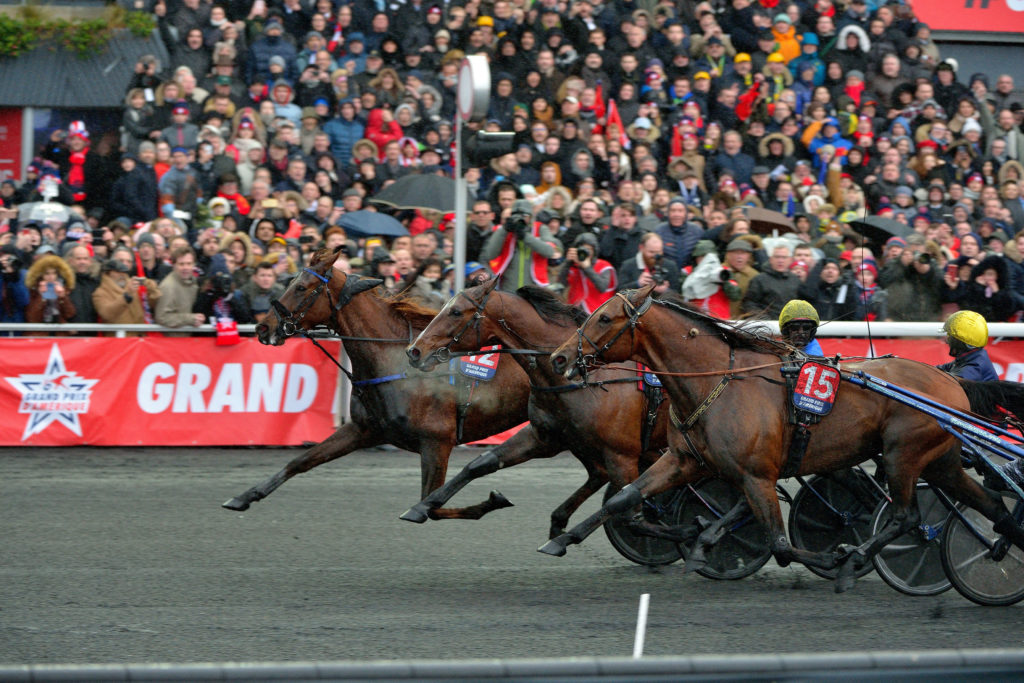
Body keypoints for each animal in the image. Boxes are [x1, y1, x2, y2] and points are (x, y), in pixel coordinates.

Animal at [224, 248, 528, 520]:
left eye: (300, 287)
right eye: (289, 281)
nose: (263, 328)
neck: (397, 364)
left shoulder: (437, 440)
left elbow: (432, 504)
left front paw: (494, 500)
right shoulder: (364, 428)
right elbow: (302, 460)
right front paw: (243, 497)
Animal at [401, 282, 712, 540]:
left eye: (455, 312)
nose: (414, 351)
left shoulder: (622, 454)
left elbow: (629, 511)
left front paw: (695, 530)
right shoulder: (546, 436)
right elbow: (480, 463)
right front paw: (423, 506)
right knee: (599, 474)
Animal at [548, 286, 1019, 589]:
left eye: (604, 317)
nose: (559, 357)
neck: (716, 380)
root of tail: (952, 384)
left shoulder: (757, 474)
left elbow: (779, 543)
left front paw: (834, 556)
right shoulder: (685, 459)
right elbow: (624, 499)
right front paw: (561, 538)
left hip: (902, 454)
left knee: (905, 516)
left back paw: (856, 560)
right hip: (940, 461)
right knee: (991, 503)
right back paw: (1003, 545)